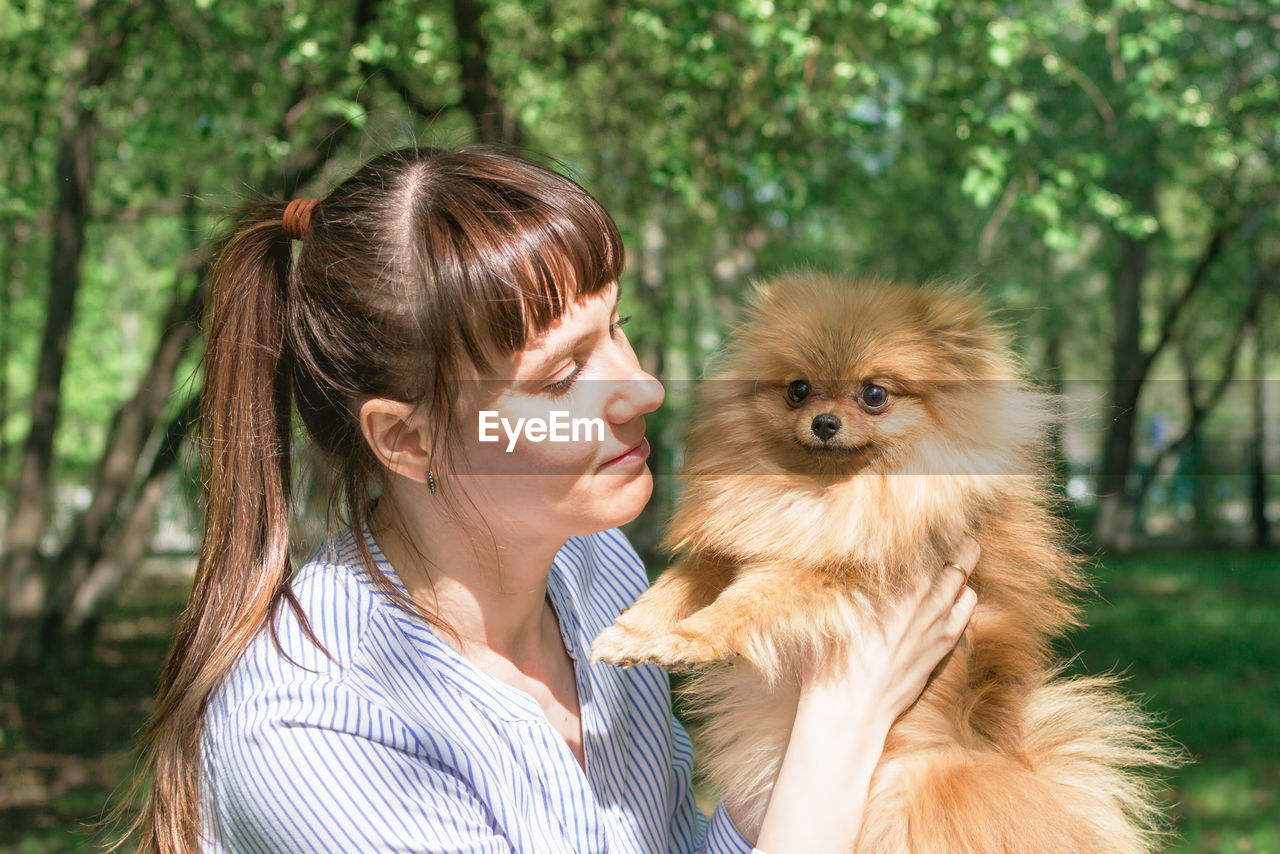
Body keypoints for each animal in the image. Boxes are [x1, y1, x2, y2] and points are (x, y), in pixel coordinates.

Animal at [593, 273, 1172, 854]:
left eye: (874, 394)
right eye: (797, 389)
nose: (825, 422)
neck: (823, 492)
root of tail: (995, 750)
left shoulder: (828, 571)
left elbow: (744, 602)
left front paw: (690, 639)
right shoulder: (734, 546)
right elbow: (669, 590)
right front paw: (627, 635)